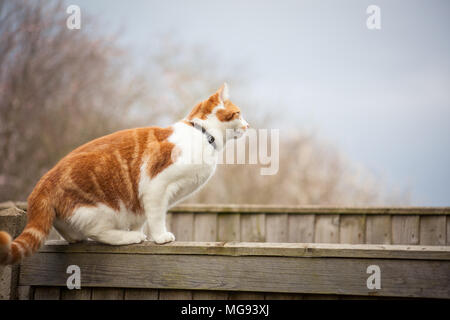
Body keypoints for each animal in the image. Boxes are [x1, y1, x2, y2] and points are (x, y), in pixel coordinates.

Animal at [0, 83, 248, 264]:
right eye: (239, 113)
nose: (248, 125)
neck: (202, 135)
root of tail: (43, 183)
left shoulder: (141, 202)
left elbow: (140, 217)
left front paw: (143, 231)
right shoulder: (156, 187)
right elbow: (156, 217)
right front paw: (160, 237)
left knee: (71, 232)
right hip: (103, 209)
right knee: (99, 233)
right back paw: (130, 237)